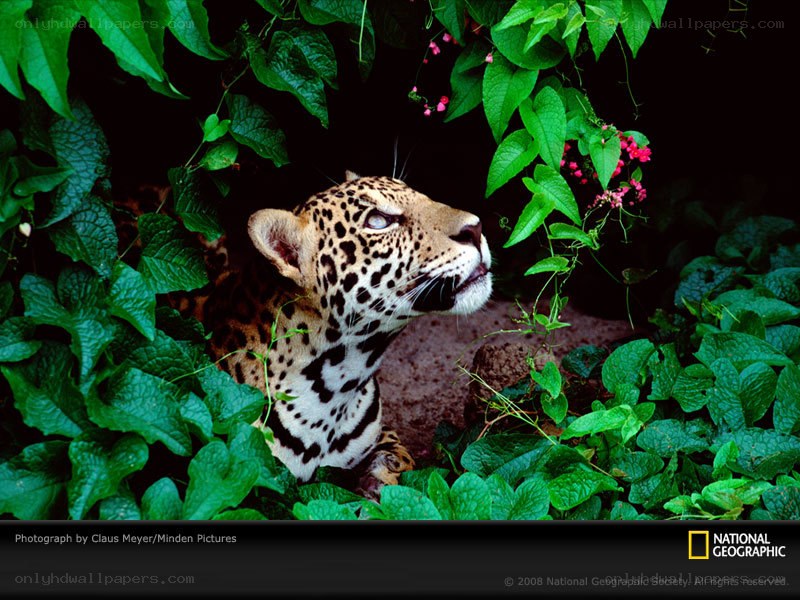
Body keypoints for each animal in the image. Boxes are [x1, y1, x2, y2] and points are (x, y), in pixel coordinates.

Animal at [125, 171, 492, 497]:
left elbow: (398, 460)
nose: (476, 227)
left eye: (420, 195)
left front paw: (375, 486)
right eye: (377, 221)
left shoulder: (385, 433)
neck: (337, 382)